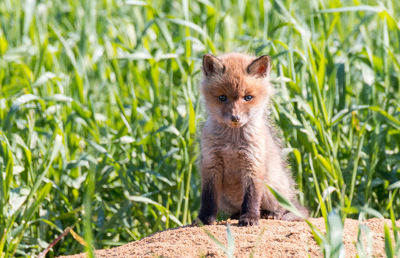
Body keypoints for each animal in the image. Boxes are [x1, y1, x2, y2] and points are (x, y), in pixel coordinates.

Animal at [198, 53, 308, 226]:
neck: (232, 142)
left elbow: (251, 197)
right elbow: (208, 199)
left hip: (272, 191)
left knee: (280, 208)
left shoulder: (253, 162)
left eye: (248, 97)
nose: (235, 118)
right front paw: (204, 220)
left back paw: (271, 213)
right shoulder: (211, 163)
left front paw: (249, 218)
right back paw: (237, 215)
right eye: (222, 97)